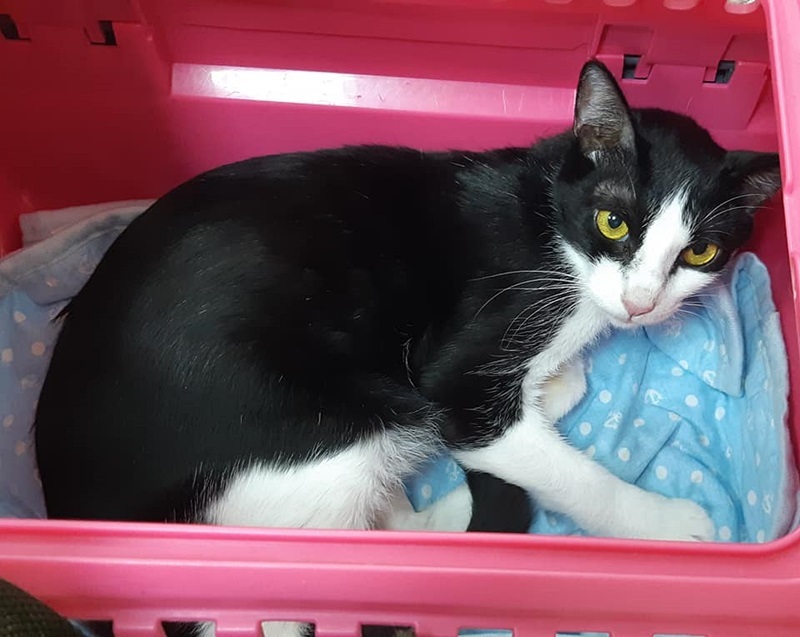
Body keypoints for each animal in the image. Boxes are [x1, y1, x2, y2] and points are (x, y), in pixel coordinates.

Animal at [34, 59, 780, 634]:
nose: (641, 304)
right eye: (614, 221)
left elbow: (555, 386)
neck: (552, 226)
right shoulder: (458, 368)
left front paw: (552, 387)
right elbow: (538, 453)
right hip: (328, 425)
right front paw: (664, 522)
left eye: (701, 252)